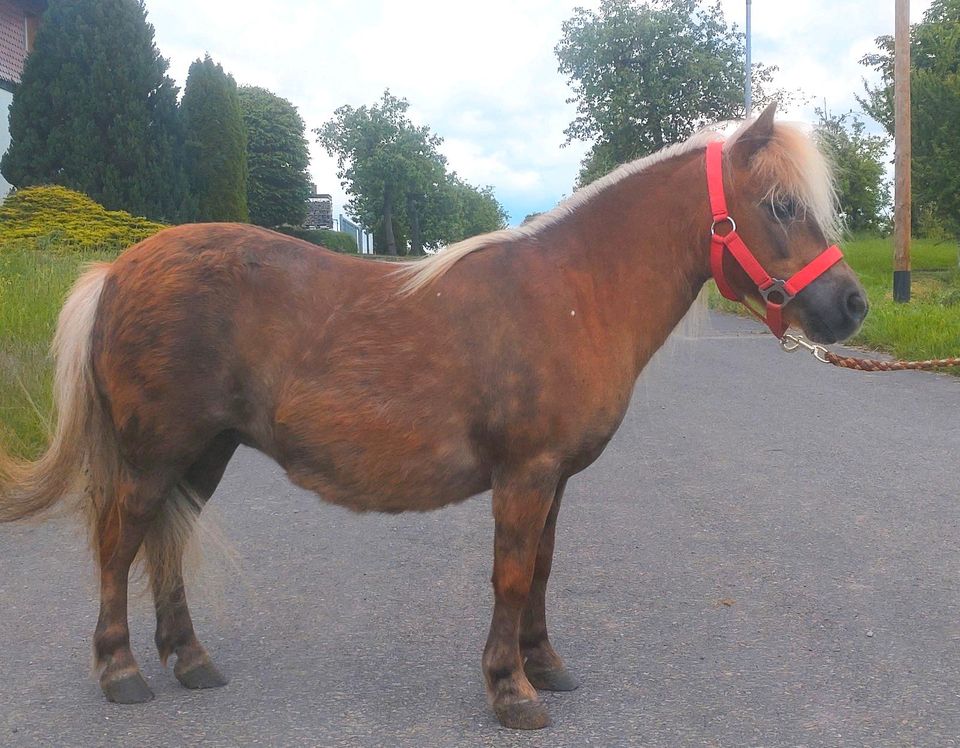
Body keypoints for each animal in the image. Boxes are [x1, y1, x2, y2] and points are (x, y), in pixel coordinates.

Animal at [0, 105, 868, 732]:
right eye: (781, 205)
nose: (852, 307)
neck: (574, 290)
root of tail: (118, 268)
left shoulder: (553, 481)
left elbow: (540, 570)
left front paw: (543, 664)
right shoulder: (523, 476)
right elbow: (510, 574)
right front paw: (510, 690)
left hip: (204, 453)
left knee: (167, 545)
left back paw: (190, 661)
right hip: (155, 455)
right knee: (122, 544)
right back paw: (122, 673)